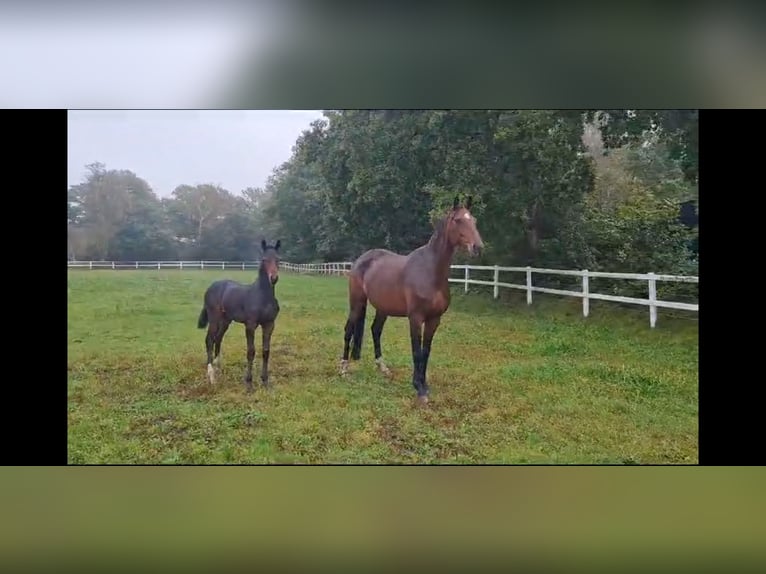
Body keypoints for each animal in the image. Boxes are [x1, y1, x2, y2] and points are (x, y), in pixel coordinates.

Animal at [198, 241, 282, 394]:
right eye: (264, 259)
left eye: (278, 259)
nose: (273, 278)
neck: (262, 296)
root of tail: (212, 286)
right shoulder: (250, 325)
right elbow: (251, 352)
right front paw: (249, 384)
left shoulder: (269, 324)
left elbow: (266, 351)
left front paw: (265, 382)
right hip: (214, 318)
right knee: (209, 340)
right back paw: (211, 376)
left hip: (226, 320)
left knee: (218, 338)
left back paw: (218, 367)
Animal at [342, 196, 486, 402]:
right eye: (458, 220)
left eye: (473, 220)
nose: (478, 248)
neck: (430, 272)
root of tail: (361, 260)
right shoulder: (416, 318)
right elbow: (417, 352)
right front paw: (419, 389)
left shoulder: (434, 319)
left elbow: (425, 352)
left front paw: (424, 384)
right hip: (357, 303)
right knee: (348, 329)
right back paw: (344, 368)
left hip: (383, 308)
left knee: (375, 330)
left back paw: (382, 367)